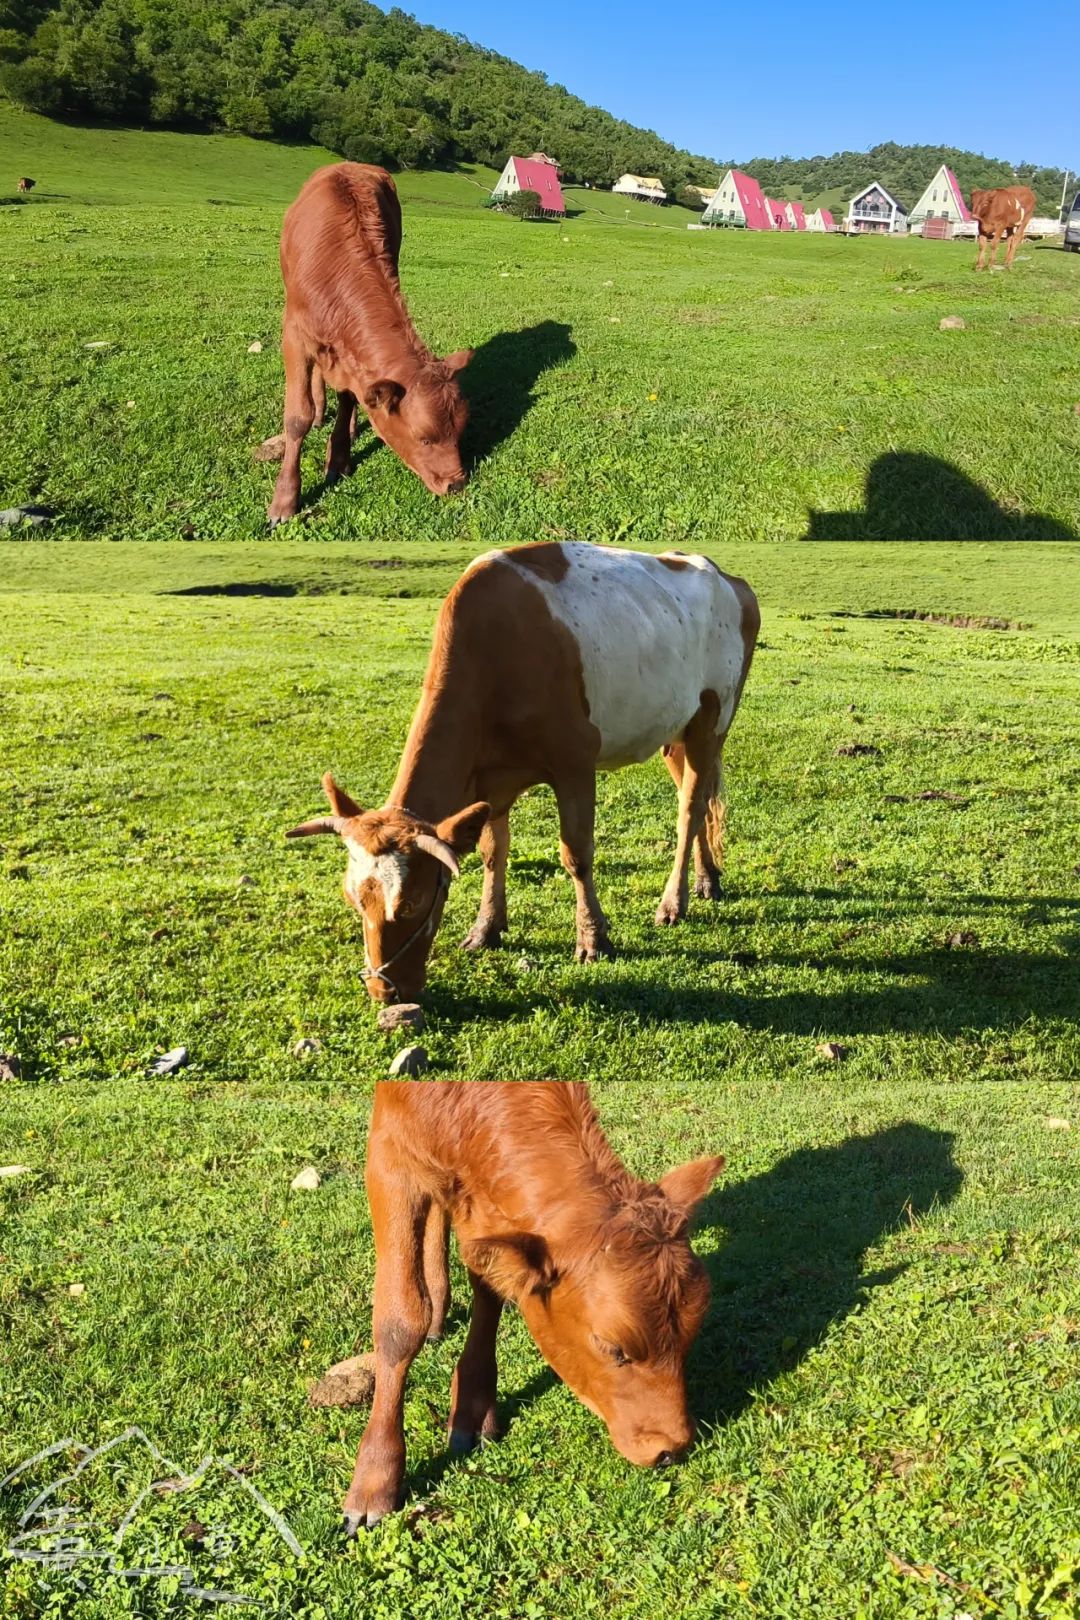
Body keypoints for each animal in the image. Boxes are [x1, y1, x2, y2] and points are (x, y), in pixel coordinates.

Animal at [268, 162, 472, 524]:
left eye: (460, 431)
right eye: (424, 439)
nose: (456, 484)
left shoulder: (351, 357)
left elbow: (350, 396)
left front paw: (339, 456)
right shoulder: (293, 334)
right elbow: (296, 417)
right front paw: (285, 500)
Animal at [286, 544, 761, 997]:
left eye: (412, 903)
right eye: (353, 899)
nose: (384, 989)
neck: (494, 652)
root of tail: (721, 574)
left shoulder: (574, 762)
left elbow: (577, 855)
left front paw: (593, 939)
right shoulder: (491, 782)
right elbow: (493, 851)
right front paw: (485, 928)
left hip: (712, 721)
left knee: (690, 808)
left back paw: (673, 902)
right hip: (675, 731)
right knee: (697, 798)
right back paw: (707, 879)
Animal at [340, 1075, 725, 1529]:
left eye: (692, 1333)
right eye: (612, 1347)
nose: (672, 1447)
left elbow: (489, 1279)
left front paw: (473, 1408)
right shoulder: (389, 1153)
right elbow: (400, 1321)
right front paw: (374, 1479)